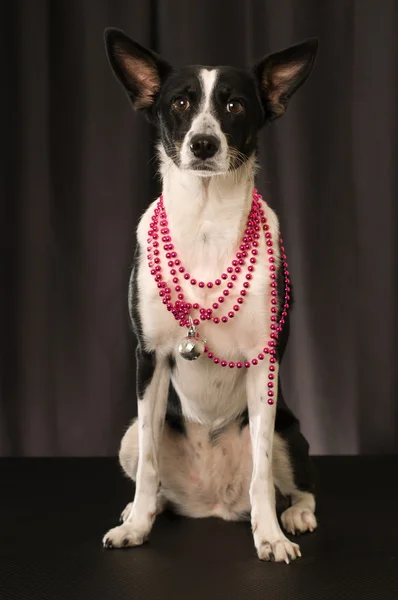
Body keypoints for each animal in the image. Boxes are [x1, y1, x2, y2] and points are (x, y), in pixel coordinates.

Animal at [102, 28, 318, 564]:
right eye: (180, 102)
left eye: (235, 105)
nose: (203, 143)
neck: (205, 223)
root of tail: (212, 504)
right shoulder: (150, 358)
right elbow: (151, 465)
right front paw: (135, 526)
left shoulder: (265, 364)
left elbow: (262, 473)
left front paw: (270, 537)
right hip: (128, 436)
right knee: (152, 474)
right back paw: (145, 509)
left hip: (290, 432)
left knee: (295, 486)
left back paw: (295, 516)